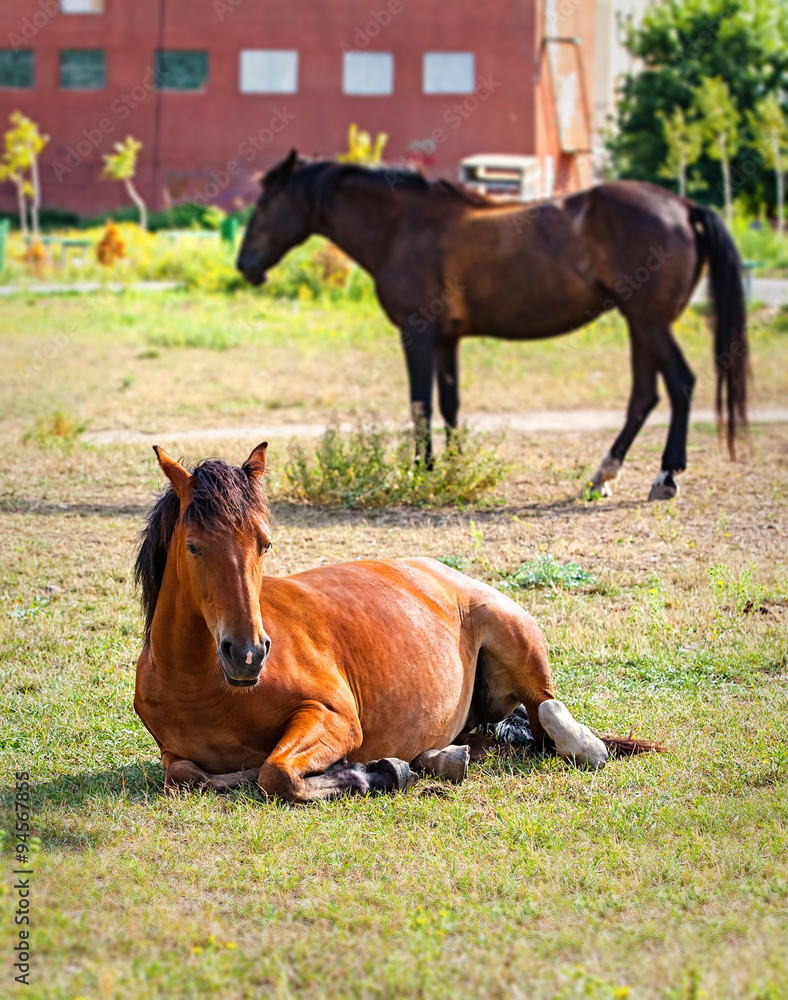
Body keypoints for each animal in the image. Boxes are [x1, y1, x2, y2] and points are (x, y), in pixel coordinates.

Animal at [133, 442, 660, 803]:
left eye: (264, 543)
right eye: (194, 546)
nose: (247, 654)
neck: (205, 690)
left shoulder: (334, 718)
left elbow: (275, 773)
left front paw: (377, 771)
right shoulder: (173, 757)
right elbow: (189, 775)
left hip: (515, 637)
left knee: (550, 712)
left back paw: (580, 745)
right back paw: (440, 758)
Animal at [236, 151, 748, 501]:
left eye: (265, 202)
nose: (245, 265)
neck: (403, 226)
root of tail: (683, 207)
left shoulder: (418, 335)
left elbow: (421, 404)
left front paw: (422, 470)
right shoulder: (447, 340)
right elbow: (450, 405)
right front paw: (451, 467)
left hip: (650, 322)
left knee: (680, 382)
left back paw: (666, 474)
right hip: (639, 324)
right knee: (644, 396)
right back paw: (603, 474)